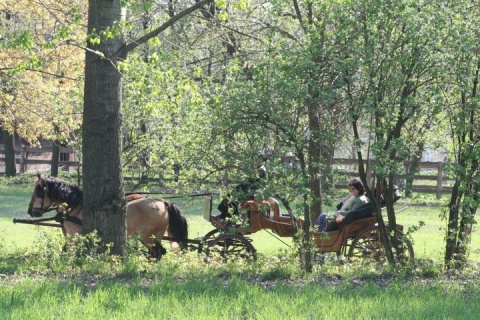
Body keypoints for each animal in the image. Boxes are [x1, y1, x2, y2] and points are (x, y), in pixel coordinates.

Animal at [25, 174, 188, 258]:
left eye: (39, 190)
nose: (31, 211)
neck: (75, 204)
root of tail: (162, 202)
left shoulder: (74, 235)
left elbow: (67, 250)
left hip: (147, 236)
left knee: (158, 252)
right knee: (155, 253)